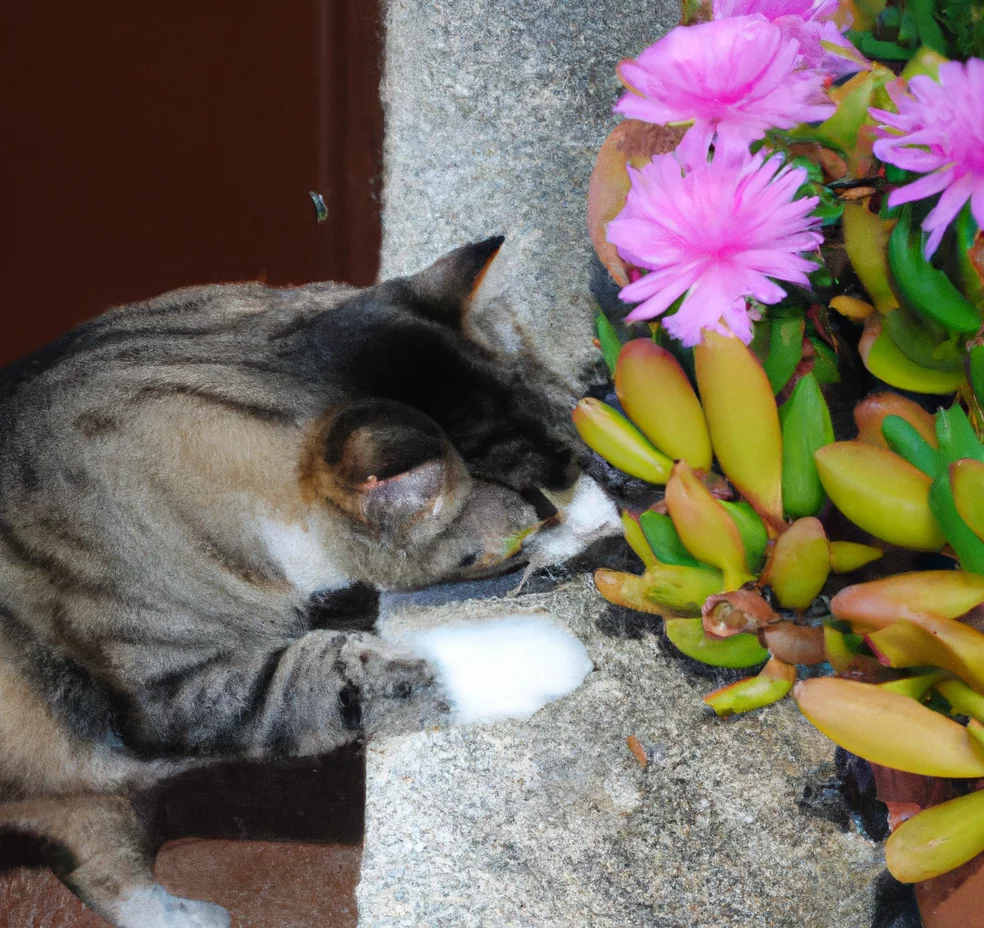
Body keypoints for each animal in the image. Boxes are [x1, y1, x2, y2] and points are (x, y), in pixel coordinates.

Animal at [0, 239, 616, 928]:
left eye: (576, 452)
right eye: (538, 513)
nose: (609, 527)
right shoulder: (173, 695)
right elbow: (342, 673)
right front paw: (535, 656)